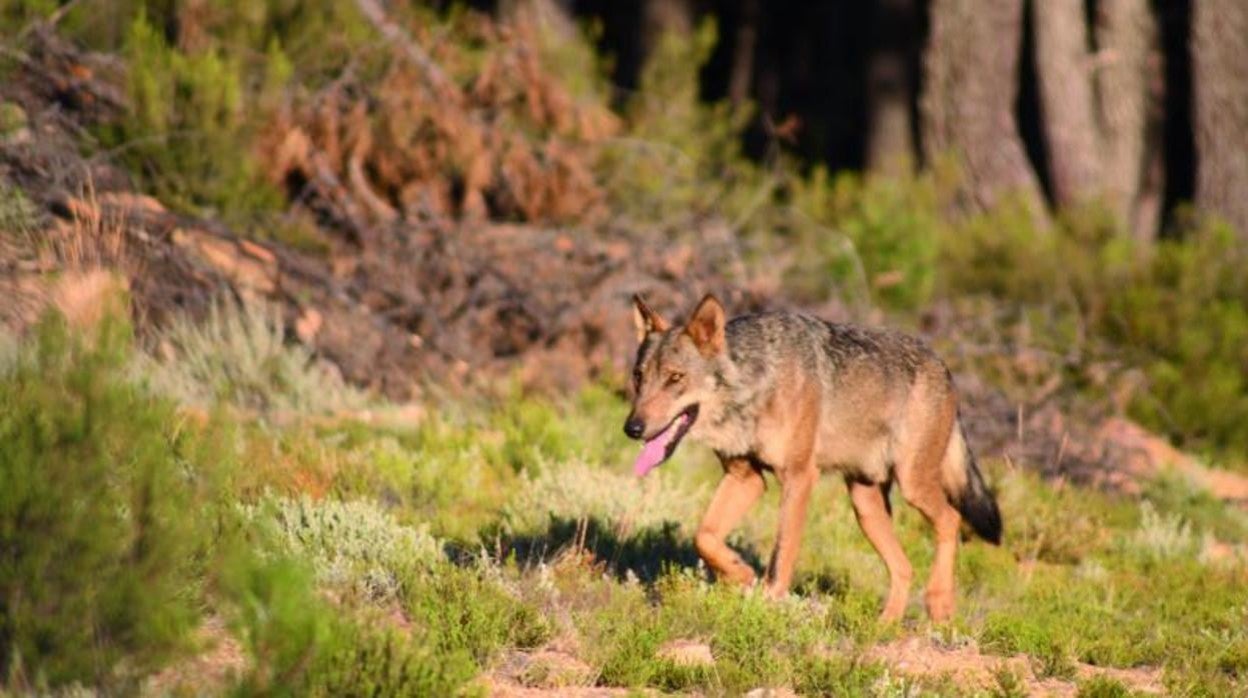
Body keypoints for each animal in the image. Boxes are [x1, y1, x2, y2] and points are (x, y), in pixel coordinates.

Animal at [624, 292, 1003, 619]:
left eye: (675, 378)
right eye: (639, 376)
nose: (632, 428)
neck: (755, 384)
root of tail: (944, 366)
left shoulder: (800, 477)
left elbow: (782, 555)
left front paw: (768, 606)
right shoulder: (746, 478)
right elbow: (704, 537)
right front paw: (741, 574)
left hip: (913, 485)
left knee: (951, 520)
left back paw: (939, 603)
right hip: (865, 506)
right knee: (905, 566)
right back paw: (885, 626)